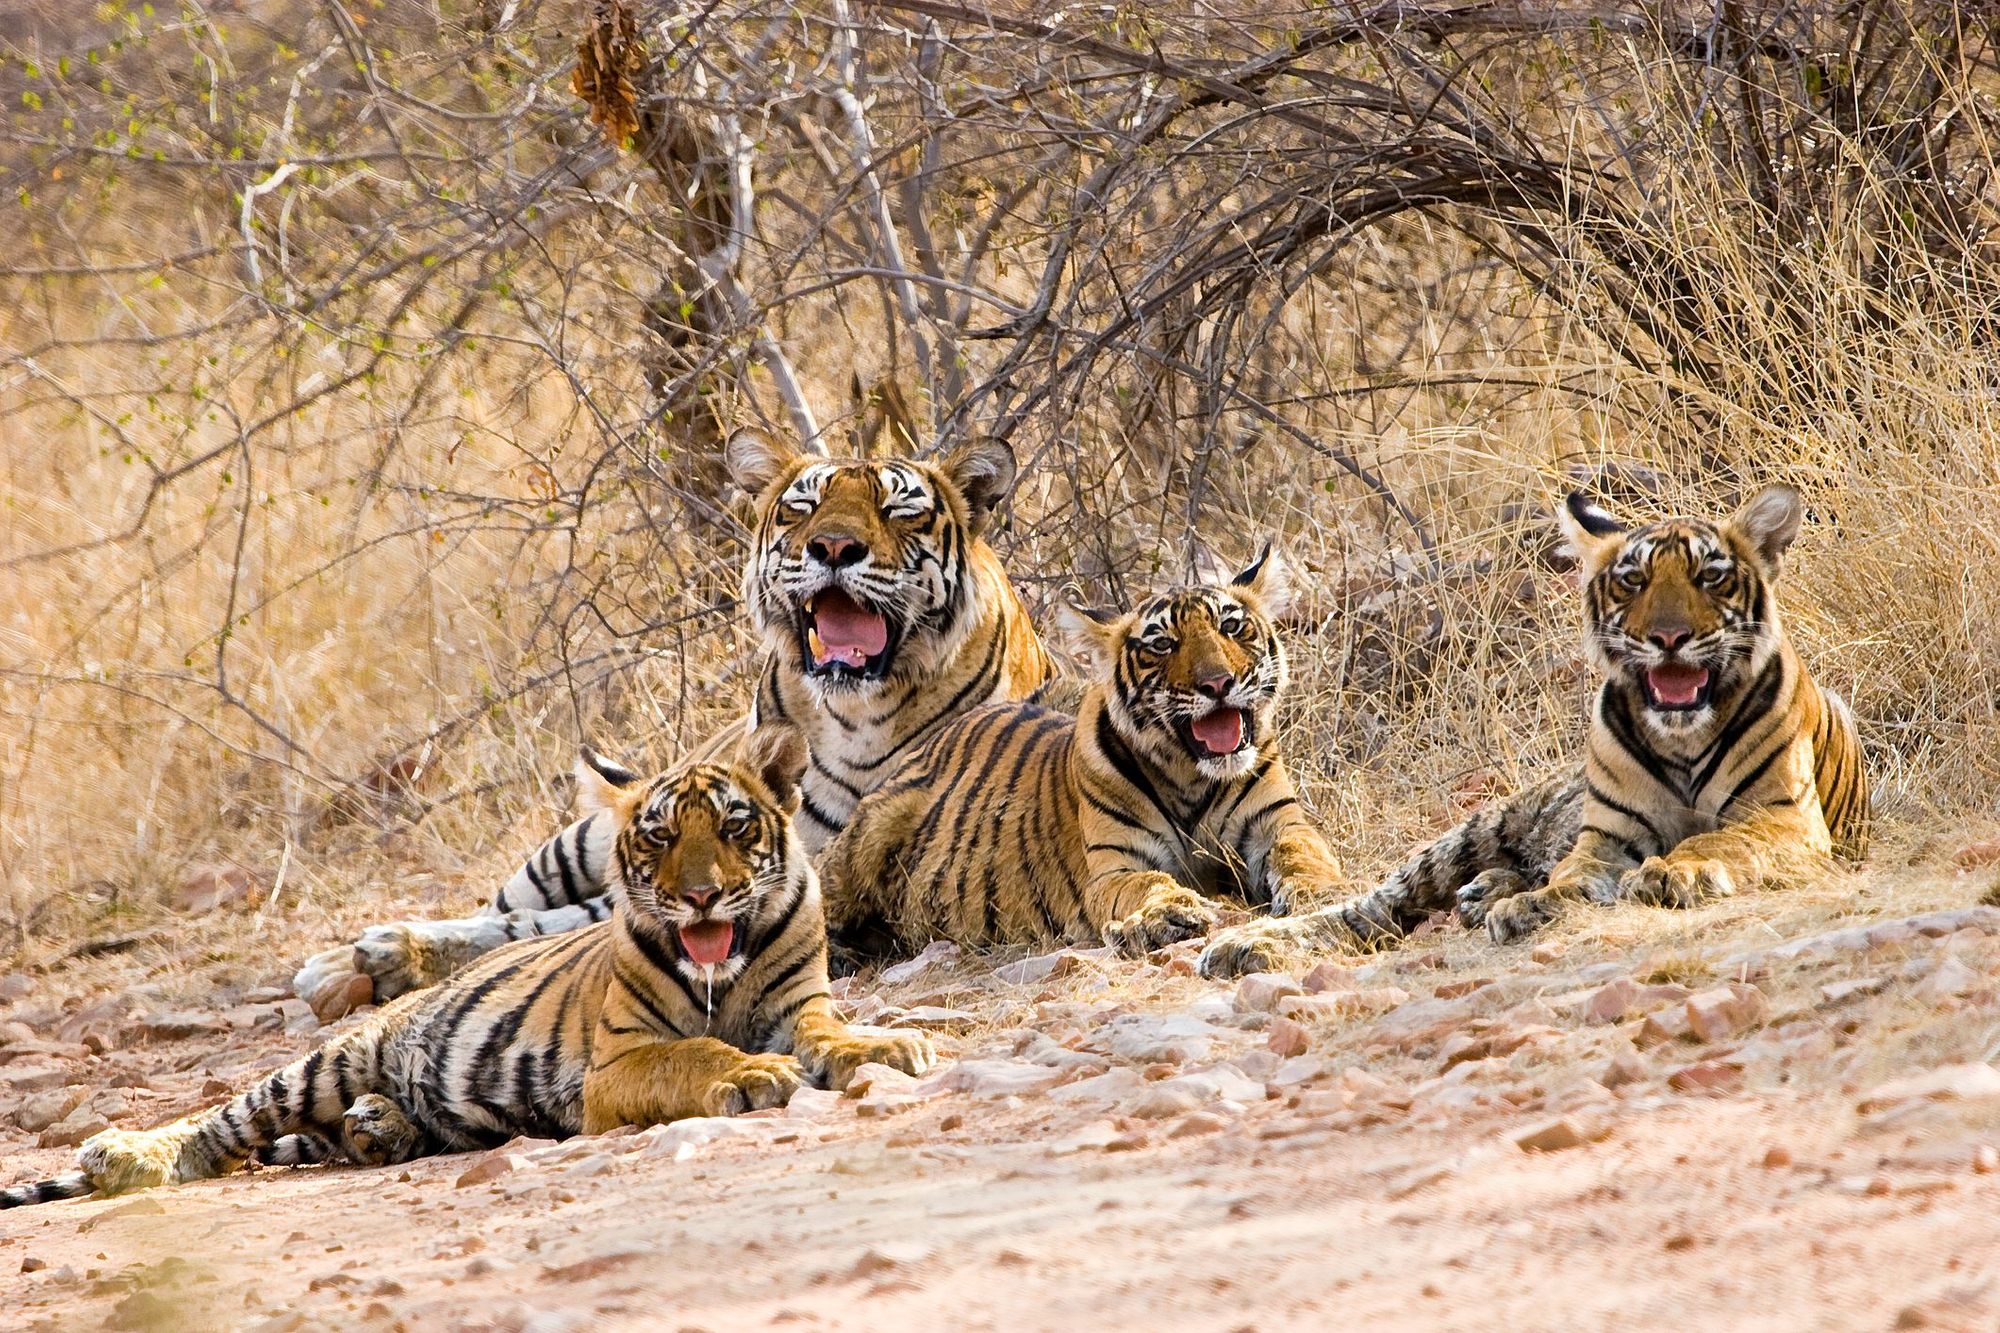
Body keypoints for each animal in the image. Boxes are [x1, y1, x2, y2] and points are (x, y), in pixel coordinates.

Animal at [3, 728, 928, 1200]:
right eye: (661, 835)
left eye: (736, 827)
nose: (701, 897)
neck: (722, 973)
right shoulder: (618, 1062)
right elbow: (692, 1052)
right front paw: (748, 1073)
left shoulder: (801, 1003)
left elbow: (832, 1032)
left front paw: (887, 1047)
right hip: (327, 1059)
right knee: (222, 1126)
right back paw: (126, 1157)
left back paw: (377, 1127)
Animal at [292, 400, 1064, 1000]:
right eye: (803, 507)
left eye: (899, 512)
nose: (833, 547)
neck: (860, 714)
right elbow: (545, 920)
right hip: (572, 843)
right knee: (502, 905)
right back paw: (345, 962)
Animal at [812, 544, 1344, 960]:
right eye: (1163, 644)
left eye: (1232, 628)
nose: (1218, 683)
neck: (1190, 774)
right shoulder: (1114, 866)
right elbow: (1145, 885)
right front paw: (1169, 913)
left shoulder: (1279, 823)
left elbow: (1304, 854)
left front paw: (1320, 891)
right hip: (865, 838)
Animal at [1192, 480, 1864, 976]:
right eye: (1633, 581)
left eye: (1710, 577)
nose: (1669, 638)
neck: (1683, 736)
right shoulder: (1605, 838)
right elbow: (1572, 877)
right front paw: (1534, 907)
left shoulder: (1783, 818)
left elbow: (1718, 841)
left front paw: (1672, 870)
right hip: (1469, 833)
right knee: (1367, 909)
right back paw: (1242, 946)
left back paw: (1484, 894)